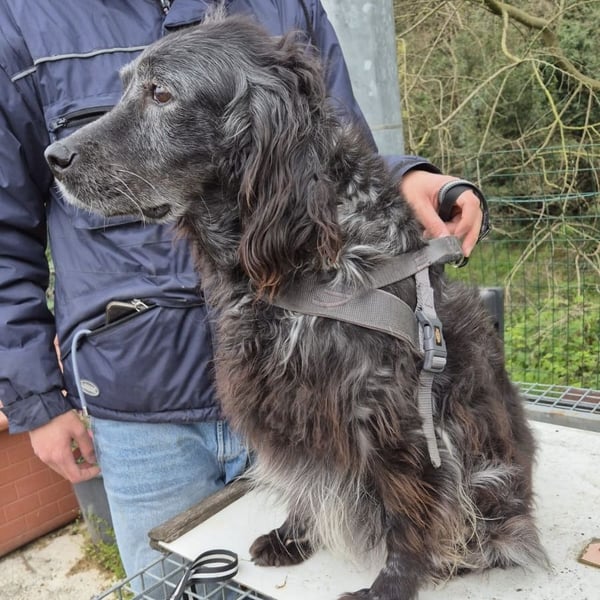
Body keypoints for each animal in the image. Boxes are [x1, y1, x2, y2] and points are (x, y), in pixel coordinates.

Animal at [45, 15, 547, 600]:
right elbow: (307, 483)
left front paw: (391, 584)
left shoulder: (394, 417)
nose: (53, 159)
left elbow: (409, 512)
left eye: (162, 93)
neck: (315, 259)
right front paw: (294, 536)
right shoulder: (289, 409)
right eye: (125, 87)